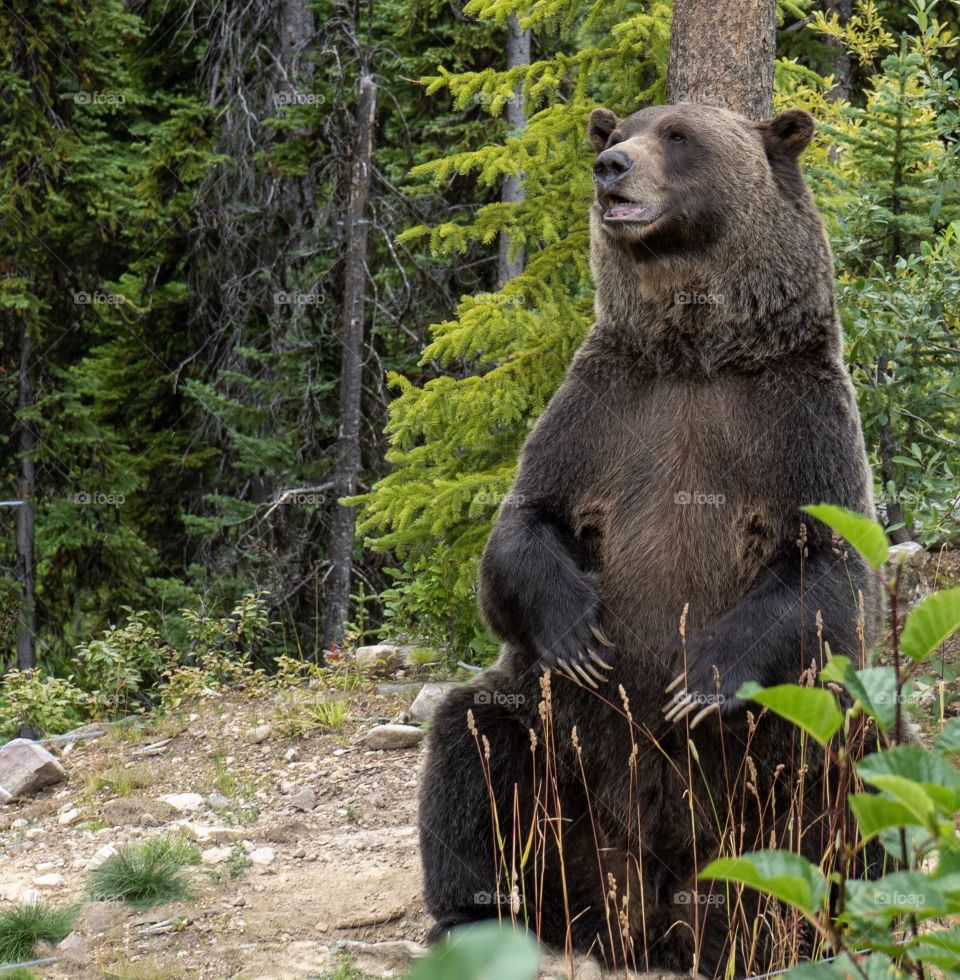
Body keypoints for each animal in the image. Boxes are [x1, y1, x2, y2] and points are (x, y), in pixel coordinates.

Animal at [418, 102, 883, 978]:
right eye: (621, 129)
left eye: (678, 136)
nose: (612, 167)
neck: (697, 350)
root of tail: (651, 922)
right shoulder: (605, 403)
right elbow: (524, 524)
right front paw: (578, 634)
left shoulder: (796, 416)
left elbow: (828, 562)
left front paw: (699, 678)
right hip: (558, 758)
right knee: (474, 745)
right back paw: (476, 916)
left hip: (784, 765)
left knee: (855, 777)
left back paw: (818, 928)